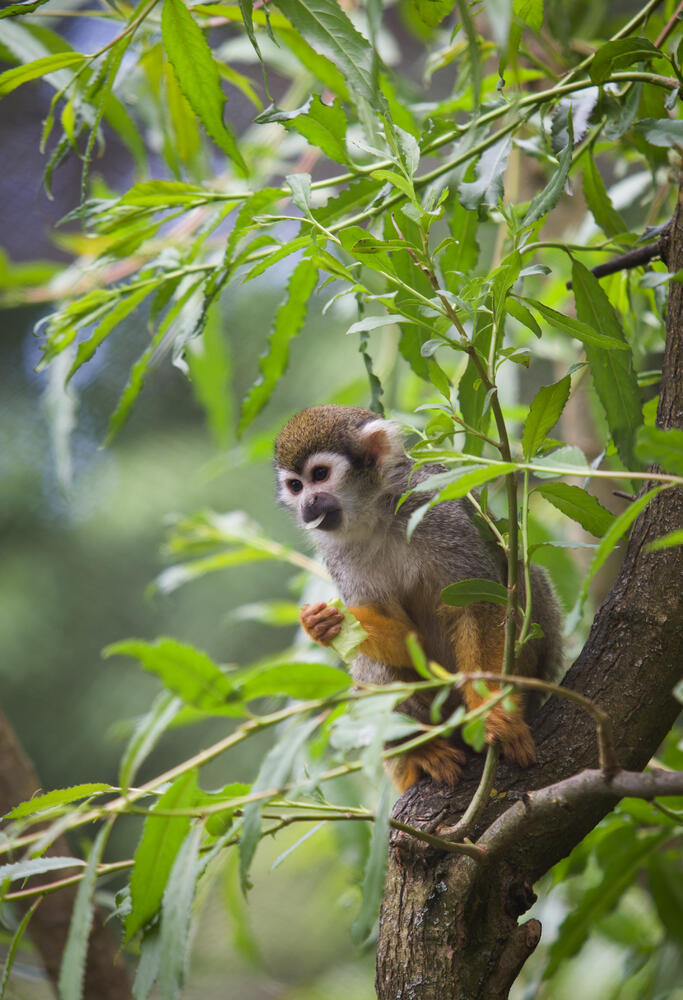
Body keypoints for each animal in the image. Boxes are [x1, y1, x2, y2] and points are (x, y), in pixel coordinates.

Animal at [276, 404, 564, 788]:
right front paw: (320, 624)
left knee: (524, 584)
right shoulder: (336, 553)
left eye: (319, 475)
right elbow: (406, 638)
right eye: (295, 486)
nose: (307, 504)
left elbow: (480, 602)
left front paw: (490, 711)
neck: (376, 514)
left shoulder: (434, 509)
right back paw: (420, 751)